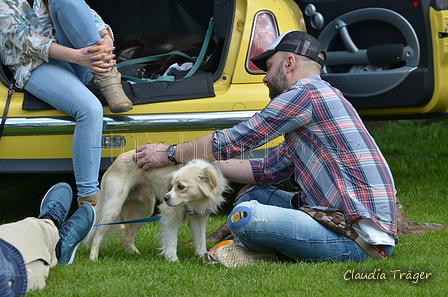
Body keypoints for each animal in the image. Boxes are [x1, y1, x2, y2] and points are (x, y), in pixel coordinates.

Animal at [85, 150, 229, 262]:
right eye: (171, 185)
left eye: (181, 187)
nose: (165, 197)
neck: (196, 200)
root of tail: (117, 160)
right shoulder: (170, 213)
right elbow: (172, 239)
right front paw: (172, 259)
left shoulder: (199, 216)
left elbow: (201, 240)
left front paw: (203, 258)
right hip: (113, 208)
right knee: (98, 236)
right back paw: (93, 258)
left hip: (143, 211)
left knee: (125, 237)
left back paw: (135, 255)